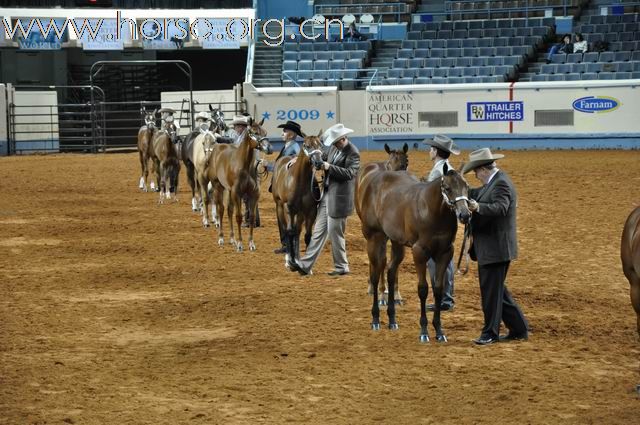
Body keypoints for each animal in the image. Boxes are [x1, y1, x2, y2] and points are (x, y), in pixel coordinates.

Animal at [272, 130, 324, 268]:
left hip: (300, 212)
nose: (319, 163)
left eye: (321, 145)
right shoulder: (289, 209)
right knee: (286, 229)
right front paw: (291, 260)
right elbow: (290, 231)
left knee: (298, 230)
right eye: (306, 145)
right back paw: (285, 248)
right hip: (280, 206)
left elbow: (307, 235)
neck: (300, 181)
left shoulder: (311, 211)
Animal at [356, 142, 410, 304]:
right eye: (389, 164)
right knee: (375, 259)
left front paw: (397, 294)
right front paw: (381, 293)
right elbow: (382, 261)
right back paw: (372, 287)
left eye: (405, 163)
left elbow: (394, 262)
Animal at [360, 162, 470, 342]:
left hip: (397, 243)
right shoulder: (419, 253)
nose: (465, 215)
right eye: (447, 188)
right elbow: (423, 289)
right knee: (375, 276)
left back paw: (392, 320)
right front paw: (424, 331)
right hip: (375, 239)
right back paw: (375, 320)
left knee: (391, 273)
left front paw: (439, 331)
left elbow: (438, 289)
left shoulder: (445, 253)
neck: (432, 211)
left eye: (466, 186)